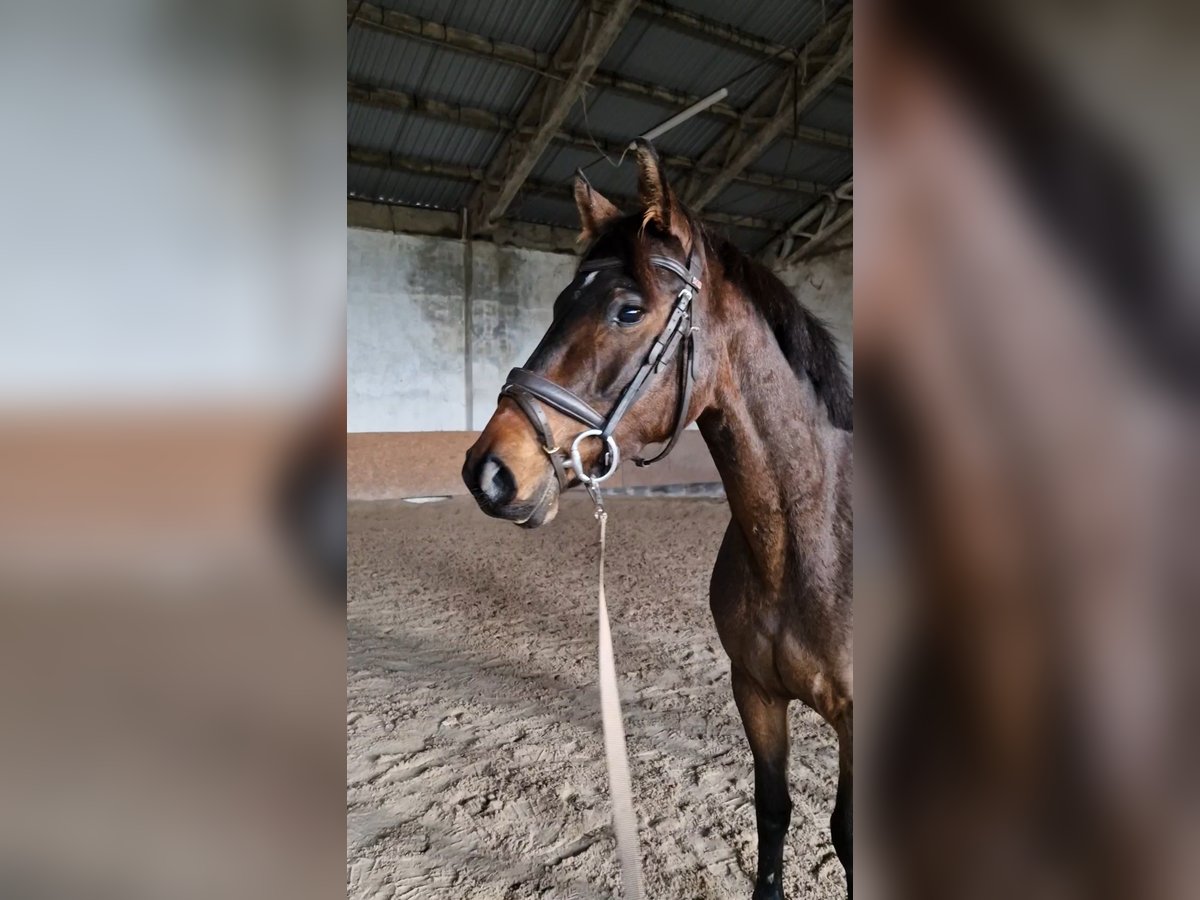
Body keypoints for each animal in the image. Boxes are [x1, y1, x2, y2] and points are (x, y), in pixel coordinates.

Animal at [460, 137, 854, 897]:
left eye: (627, 310)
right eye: (559, 303)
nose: (489, 471)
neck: (805, 546)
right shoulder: (754, 692)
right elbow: (773, 808)